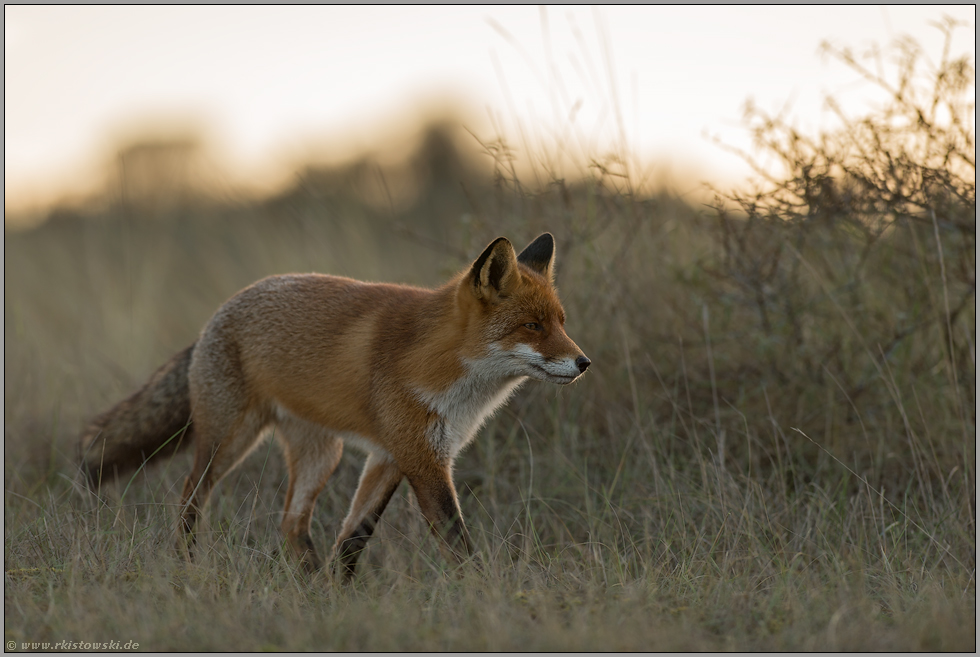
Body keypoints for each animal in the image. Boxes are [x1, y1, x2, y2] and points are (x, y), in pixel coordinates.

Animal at [78, 233, 588, 576]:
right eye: (532, 326)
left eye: (562, 322)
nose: (584, 363)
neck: (446, 368)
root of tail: (218, 314)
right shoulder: (422, 458)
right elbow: (456, 543)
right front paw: (483, 592)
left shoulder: (391, 456)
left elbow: (354, 537)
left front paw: (334, 593)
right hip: (227, 442)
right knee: (188, 499)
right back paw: (187, 567)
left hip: (323, 455)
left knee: (290, 524)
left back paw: (305, 584)